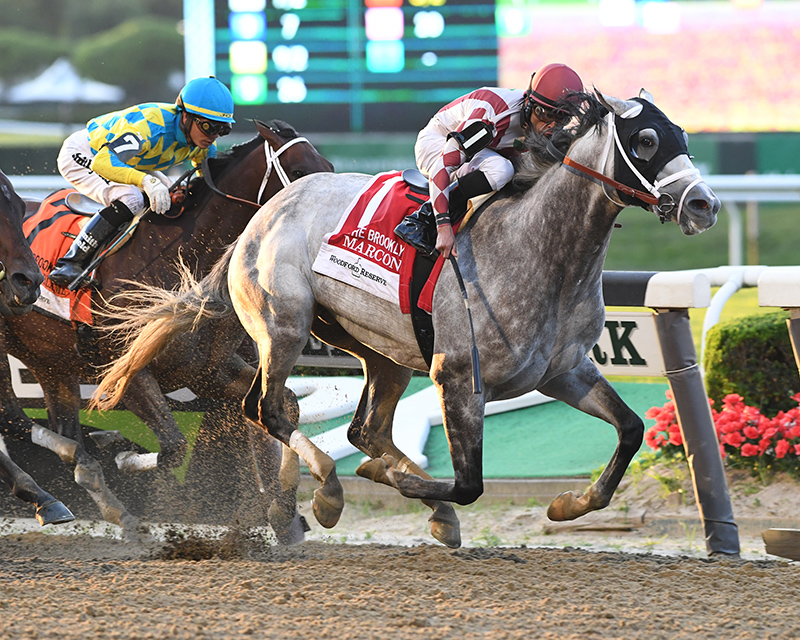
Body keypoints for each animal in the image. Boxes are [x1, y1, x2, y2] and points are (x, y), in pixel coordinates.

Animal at [0, 121, 332, 540]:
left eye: (328, 167)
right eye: (301, 171)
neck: (179, 259)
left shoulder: (208, 370)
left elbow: (285, 402)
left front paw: (286, 509)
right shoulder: (128, 371)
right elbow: (174, 449)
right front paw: (122, 452)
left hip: (50, 362)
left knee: (59, 429)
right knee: (14, 419)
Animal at [92, 91, 720, 552]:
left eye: (684, 138)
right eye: (645, 140)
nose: (704, 205)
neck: (538, 251)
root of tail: (261, 216)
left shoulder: (564, 371)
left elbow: (631, 428)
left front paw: (572, 504)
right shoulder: (458, 376)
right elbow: (469, 483)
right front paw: (387, 480)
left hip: (381, 351)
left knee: (361, 428)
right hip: (283, 326)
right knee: (270, 408)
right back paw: (327, 491)